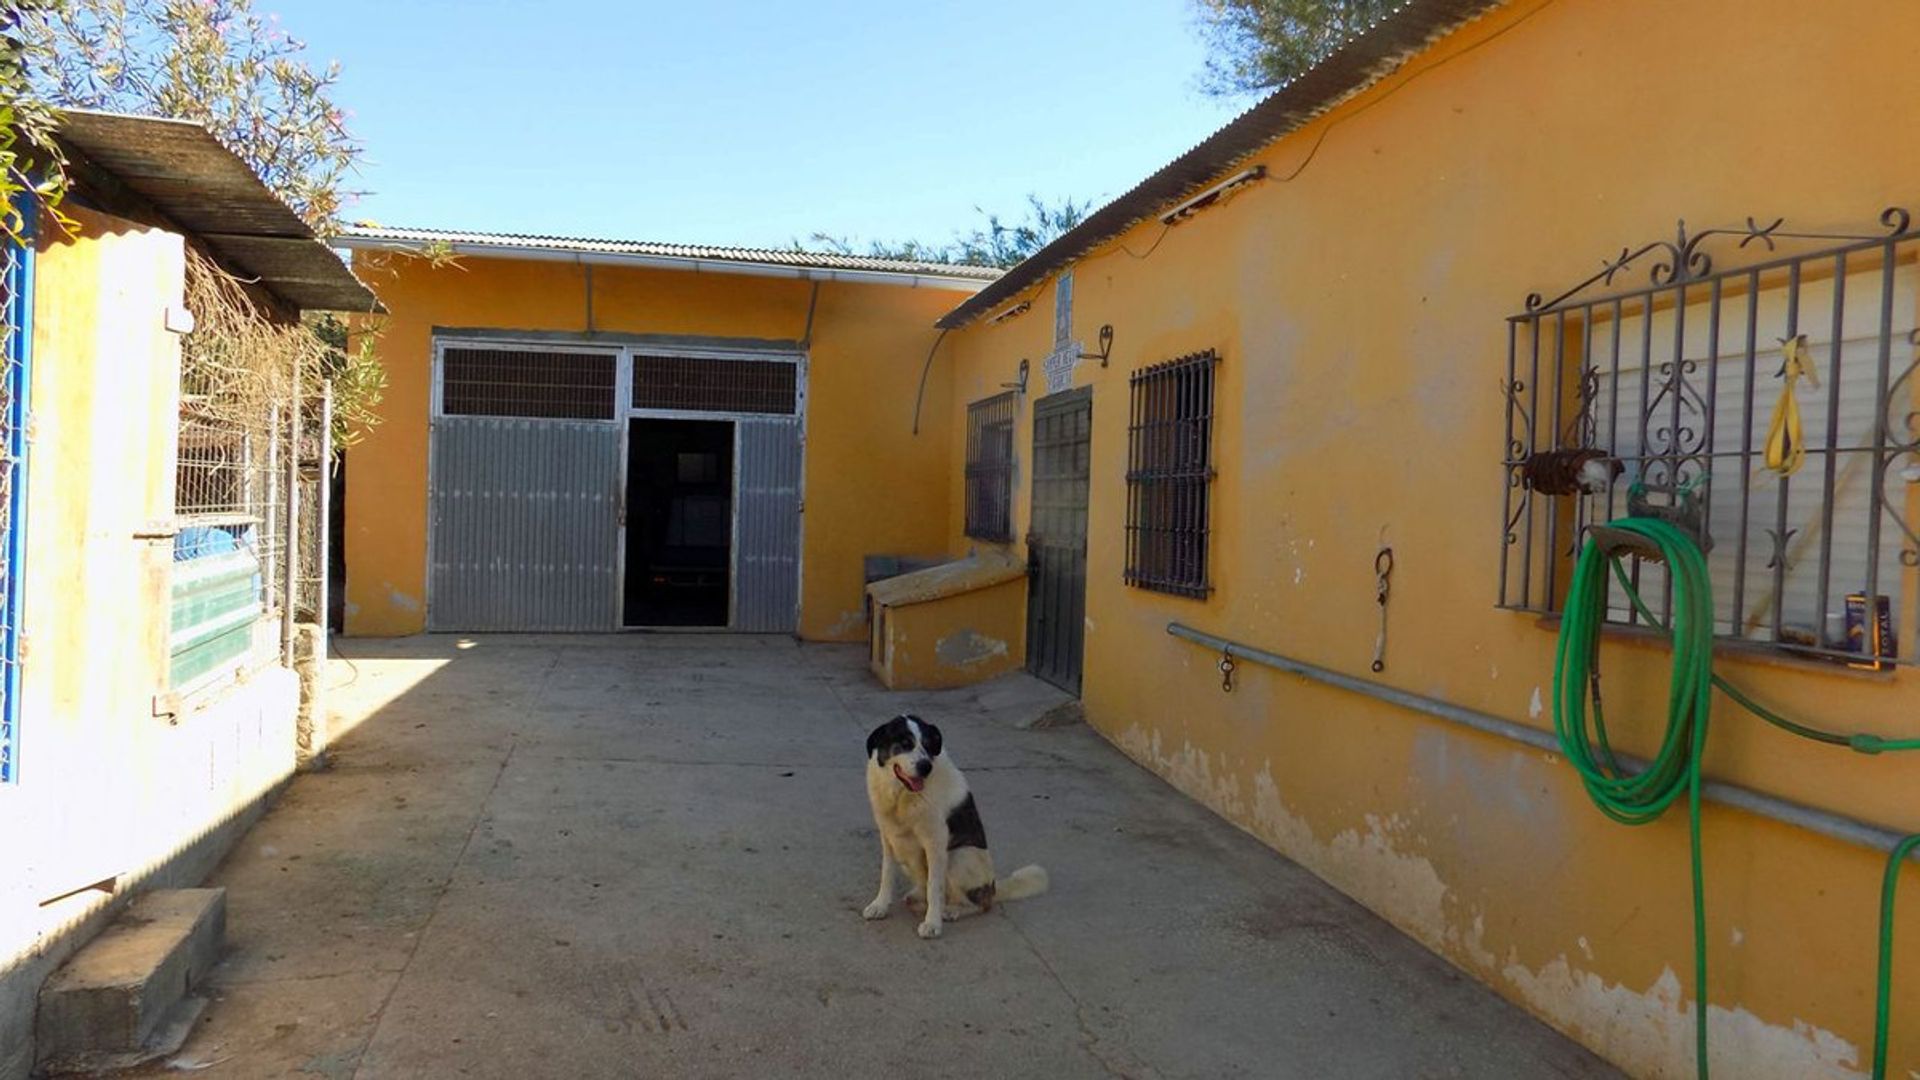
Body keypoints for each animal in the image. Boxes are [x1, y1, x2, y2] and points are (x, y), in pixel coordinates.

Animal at [867, 714, 1059, 933]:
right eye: (905, 743)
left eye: (928, 744)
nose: (926, 767)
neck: (901, 796)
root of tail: (992, 887)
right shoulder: (889, 837)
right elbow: (887, 874)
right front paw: (880, 905)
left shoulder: (935, 844)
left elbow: (934, 886)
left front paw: (932, 923)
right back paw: (919, 900)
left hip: (958, 856)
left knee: (980, 904)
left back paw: (950, 911)